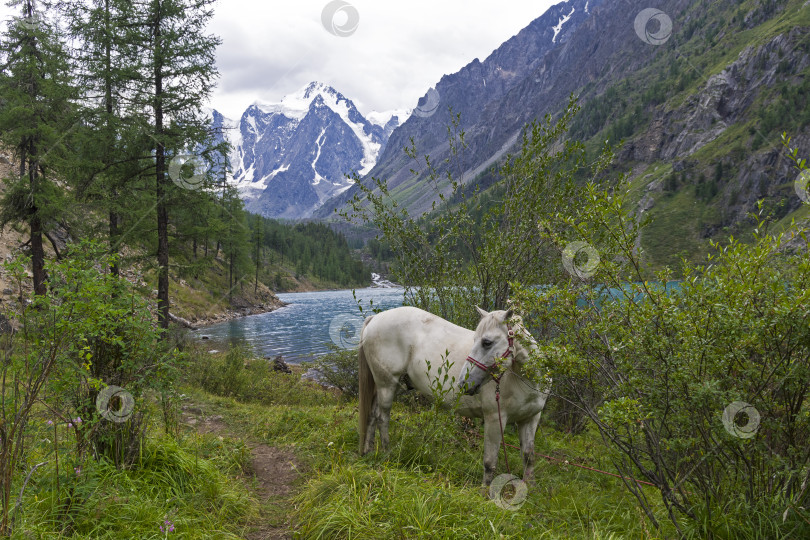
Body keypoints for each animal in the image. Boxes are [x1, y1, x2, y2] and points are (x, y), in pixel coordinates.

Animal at [358, 306, 548, 488]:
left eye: (486, 342)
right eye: (475, 340)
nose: (464, 382)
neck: (524, 380)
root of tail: (375, 318)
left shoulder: (530, 419)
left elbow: (529, 457)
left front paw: (531, 487)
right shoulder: (495, 418)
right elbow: (490, 461)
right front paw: (485, 493)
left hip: (385, 386)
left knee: (372, 415)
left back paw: (368, 452)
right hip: (387, 384)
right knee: (382, 418)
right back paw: (387, 454)